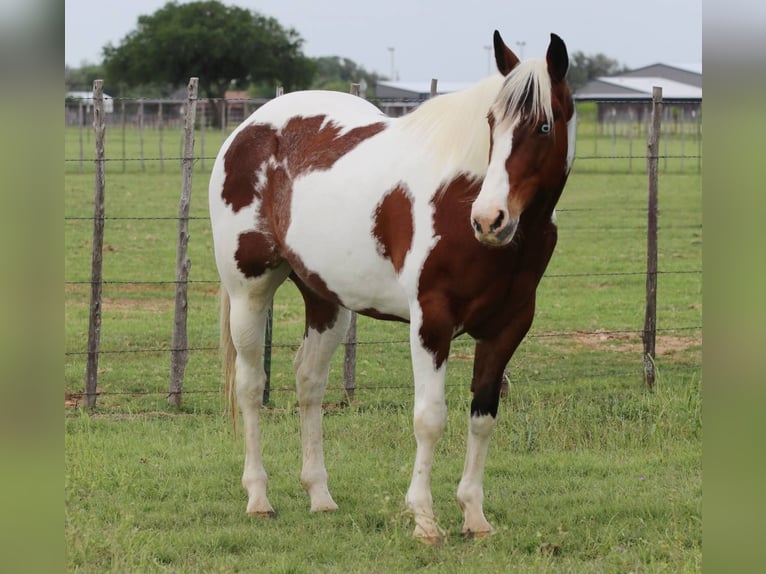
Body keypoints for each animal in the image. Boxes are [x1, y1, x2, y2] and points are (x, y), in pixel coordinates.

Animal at [208, 30, 576, 543]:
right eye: (491, 122)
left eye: (543, 126)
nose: (490, 219)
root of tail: (249, 128)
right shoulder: (431, 322)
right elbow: (429, 418)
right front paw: (424, 519)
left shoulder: (508, 327)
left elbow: (483, 417)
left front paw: (474, 516)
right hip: (250, 290)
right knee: (250, 385)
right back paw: (259, 497)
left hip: (325, 299)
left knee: (309, 381)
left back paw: (320, 495)